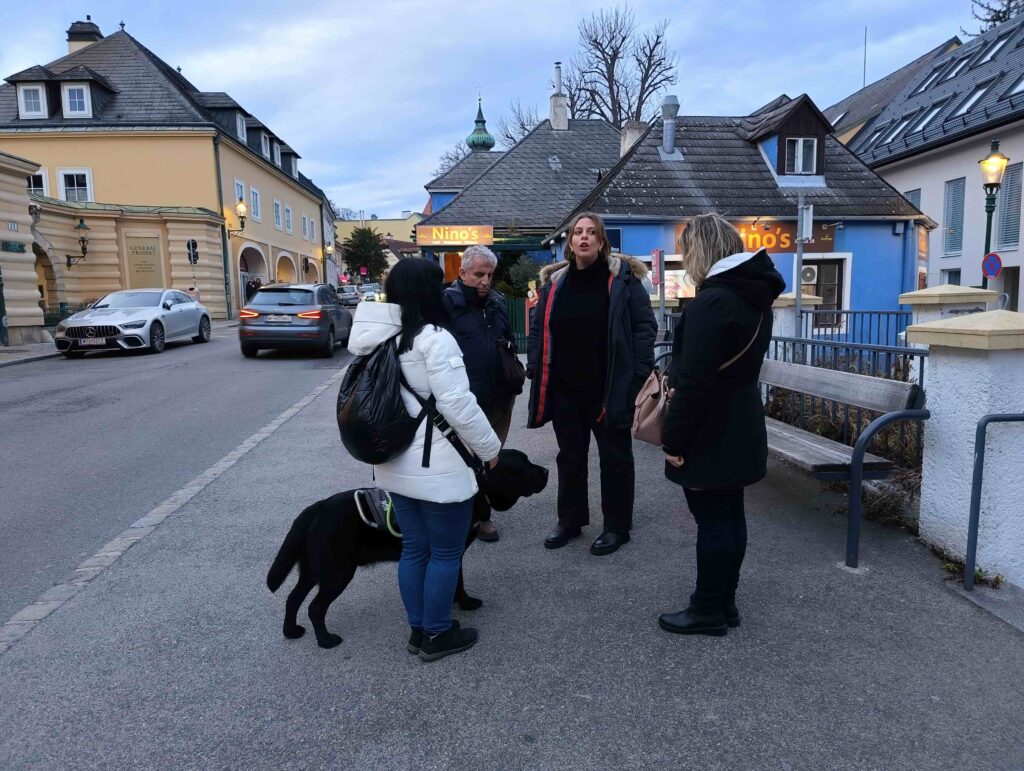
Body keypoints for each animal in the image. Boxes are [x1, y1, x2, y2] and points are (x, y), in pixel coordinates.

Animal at [268, 448, 548, 647]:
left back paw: (291, 631)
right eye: (523, 465)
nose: (546, 471)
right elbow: (455, 582)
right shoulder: (449, 552)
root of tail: (316, 508)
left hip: (313, 570)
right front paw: (464, 604)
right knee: (315, 608)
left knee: (293, 598)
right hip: (336, 572)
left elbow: (450, 583)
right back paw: (326, 640)